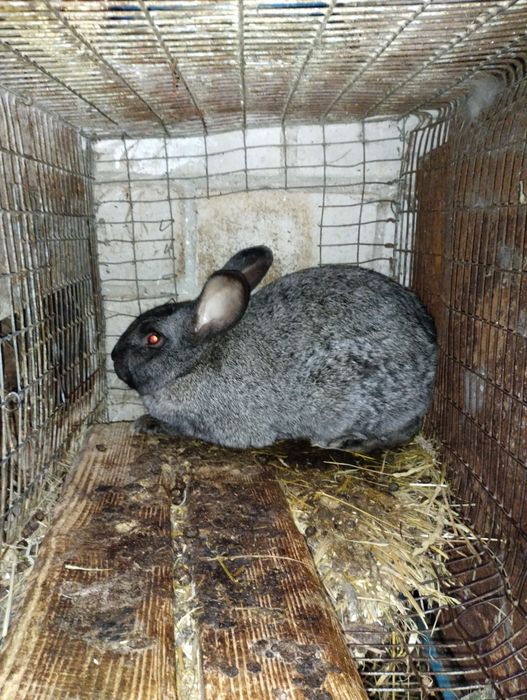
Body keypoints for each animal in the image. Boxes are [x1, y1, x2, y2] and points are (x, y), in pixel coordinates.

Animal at [111, 246, 437, 453]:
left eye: (153, 339)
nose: (114, 358)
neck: (194, 364)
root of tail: (432, 353)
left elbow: (184, 429)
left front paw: (147, 423)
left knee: (407, 428)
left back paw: (349, 442)